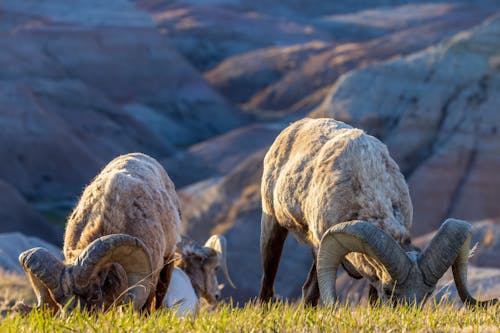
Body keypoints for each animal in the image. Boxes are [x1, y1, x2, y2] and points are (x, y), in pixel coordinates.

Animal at [260, 118, 498, 308]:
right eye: (388, 291)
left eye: (428, 293)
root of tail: (294, 127)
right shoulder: (320, 245)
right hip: (272, 227)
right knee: (270, 283)